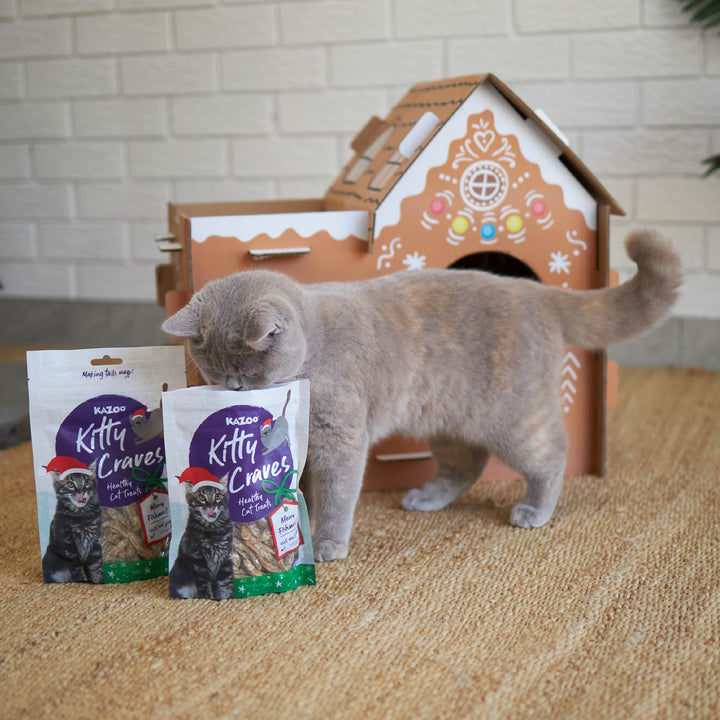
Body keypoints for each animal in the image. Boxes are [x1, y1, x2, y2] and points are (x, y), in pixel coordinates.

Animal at [162, 231, 680, 564]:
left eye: (245, 377)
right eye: (216, 374)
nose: (232, 392)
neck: (316, 346)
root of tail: (538, 293)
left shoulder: (341, 437)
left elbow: (336, 492)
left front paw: (327, 542)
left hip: (511, 417)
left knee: (551, 454)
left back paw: (535, 510)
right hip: (448, 419)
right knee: (466, 464)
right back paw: (428, 497)